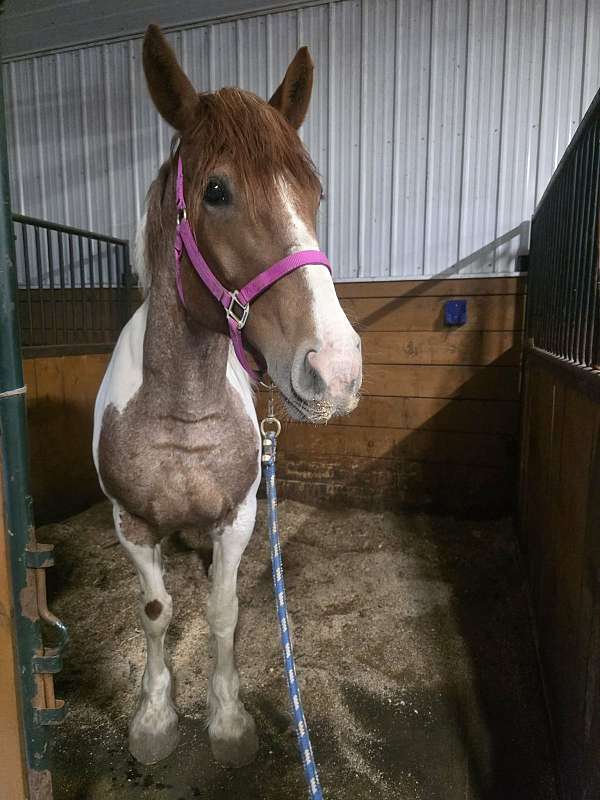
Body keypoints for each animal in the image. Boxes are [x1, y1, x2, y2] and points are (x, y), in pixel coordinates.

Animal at [92, 23, 362, 769]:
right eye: (216, 191)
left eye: (314, 192)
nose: (336, 369)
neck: (183, 411)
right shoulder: (131, 525)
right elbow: (157, 614)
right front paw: (155, 720)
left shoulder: (238, 519)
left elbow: (222, 612)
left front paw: (229, 721)